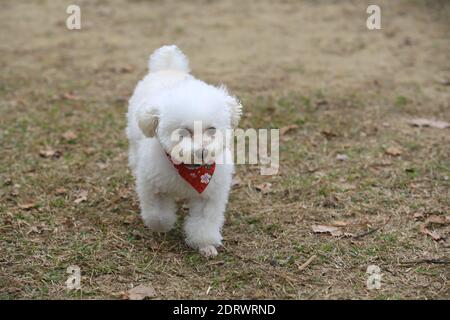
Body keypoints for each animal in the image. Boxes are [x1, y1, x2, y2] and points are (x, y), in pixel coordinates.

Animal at [125, 45, 243, 258]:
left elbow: (204, 223)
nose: (202, 152)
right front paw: (162, 226)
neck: (192, 170)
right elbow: (158, 214)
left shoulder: (209, 196)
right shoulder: (153, 185)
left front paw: (204, 244)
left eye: (211, 129)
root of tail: (168, 68)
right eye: (183, 132)